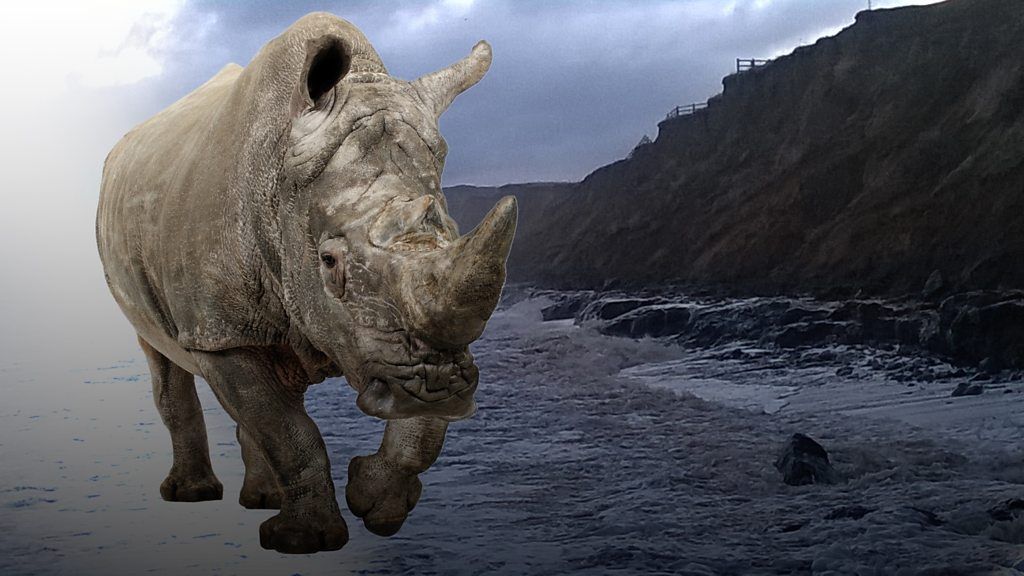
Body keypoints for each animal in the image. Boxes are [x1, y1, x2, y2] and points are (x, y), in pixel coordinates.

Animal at [96, 13, 516, 554]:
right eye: (329, 262)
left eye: (454, 232)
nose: (438, 386)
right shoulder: (219, 333)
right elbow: (289, 431)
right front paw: (304, 542)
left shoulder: (412, 334)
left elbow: (417, 432)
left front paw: (374, 505)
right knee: (162, 354)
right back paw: (192, 496)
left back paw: (262, 500)